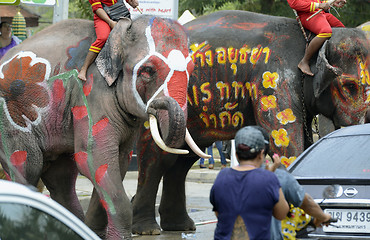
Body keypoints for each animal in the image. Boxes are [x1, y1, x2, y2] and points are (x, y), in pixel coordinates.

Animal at [0, 15, 205, 239]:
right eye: (148, 71)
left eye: (192, 70)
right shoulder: (91, 95)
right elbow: (93, 158)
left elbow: (118, 161)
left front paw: (94, 231)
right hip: (11, 123)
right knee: (27, 166)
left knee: (62, 177)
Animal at [132, 10, 368, 234]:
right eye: (350, 86)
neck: (309, 40)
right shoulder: (273, 81)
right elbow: (284, 140)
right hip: (155, 101)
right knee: (155, 157)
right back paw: (147, 229)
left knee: (182, 160)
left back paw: (180, 226)